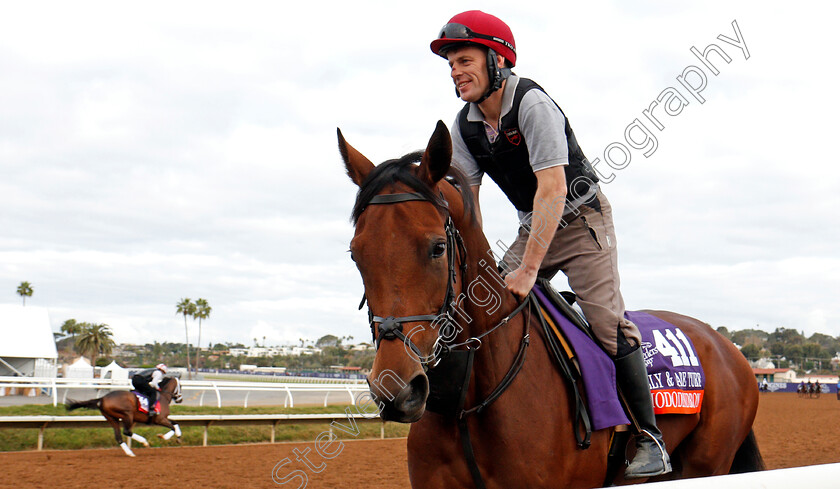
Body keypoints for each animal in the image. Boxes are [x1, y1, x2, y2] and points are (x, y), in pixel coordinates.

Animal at [338, 119, 764, 488]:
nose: (396, 390)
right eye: (356, 254)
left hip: (706, 464)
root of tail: (725, 345)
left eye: (438, 248)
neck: (467, 404)